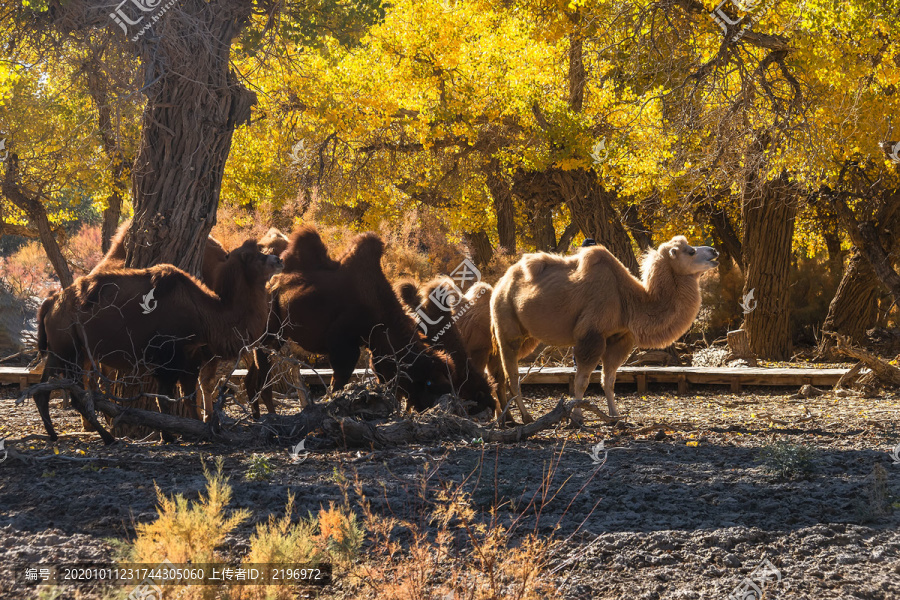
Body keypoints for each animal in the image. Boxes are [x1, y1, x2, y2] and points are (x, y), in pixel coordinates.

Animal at [37, 239, 284, 440]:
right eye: (255, 256)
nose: (279, 260)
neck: (205, 315)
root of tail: (51, 303)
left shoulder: (189, 360)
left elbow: (187, 396)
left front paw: (195, 429)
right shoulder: (168, 359)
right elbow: (165, 399)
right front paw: (172, 435)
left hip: (61, 351)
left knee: (45, 389)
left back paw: (54, 434)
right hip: (71, 353)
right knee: (76, 395)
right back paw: (107, 437)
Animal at [488, 237, 720, 424]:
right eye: (690, 251)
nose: (714, 251)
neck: (630, 301)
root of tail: (499, 283)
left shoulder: (618, 338)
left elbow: (608, 380)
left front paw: (615, 416)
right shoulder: (591, 336)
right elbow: (581, 381)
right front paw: (576, 417)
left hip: (526, 337)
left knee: (502, 374)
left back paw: (507, 418)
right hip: (507, 329)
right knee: (512, 376)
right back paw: (525, 417)